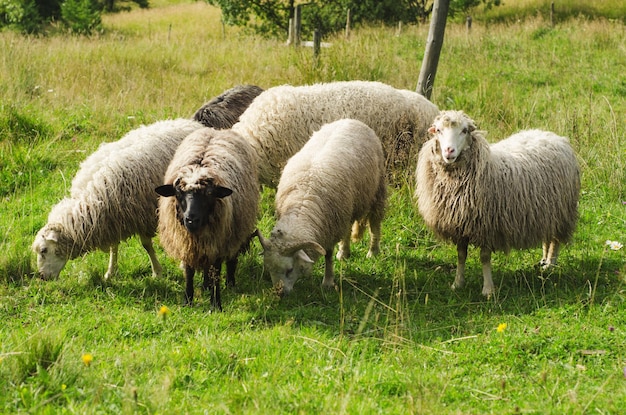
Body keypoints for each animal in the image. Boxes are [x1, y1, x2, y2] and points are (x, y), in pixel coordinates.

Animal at [32, 118, 202, 282]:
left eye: (44, 250)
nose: (42, 277)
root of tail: (191, 123)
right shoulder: (114, 221)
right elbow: (114, 247)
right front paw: (110, 272)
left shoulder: (141, 216)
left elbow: (146, 245)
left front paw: (157, 272)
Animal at [155, 128, 260, 310]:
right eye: (178, 193)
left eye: (210, 194)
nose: (191, 219)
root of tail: (217, 130)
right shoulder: (186, 242)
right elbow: (189, 271)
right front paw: (188, 300)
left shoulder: (219, 242)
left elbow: (215, 272)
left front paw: (216, 304)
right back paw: (205, 285)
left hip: (235, 233)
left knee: (230, 260)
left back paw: (230, 283)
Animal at [255, 118, 386, 296]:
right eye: (269, 270)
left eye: (290, 270)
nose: (279, 294)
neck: (302, 203)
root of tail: (350, 119)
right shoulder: (334, 220)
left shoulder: (329, 229)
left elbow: (328, 256)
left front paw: (328, 282)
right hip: (346, 208)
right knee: (347, 229)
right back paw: (344, 252)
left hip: (377, 190)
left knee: (375, 222)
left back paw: (373, 251)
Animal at [412, 109, 576, 296]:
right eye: (438, 130)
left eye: (464, 131)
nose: (449, 151)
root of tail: (554, 136)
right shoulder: (460, 226)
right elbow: (461, 255)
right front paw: (457, 283)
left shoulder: (487, 226)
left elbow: (484, 258)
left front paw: (488, 289)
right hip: (546, 211)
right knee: (547, 237)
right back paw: (544, 260)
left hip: (562, 211)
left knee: (555, 240)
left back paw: (550, 264)